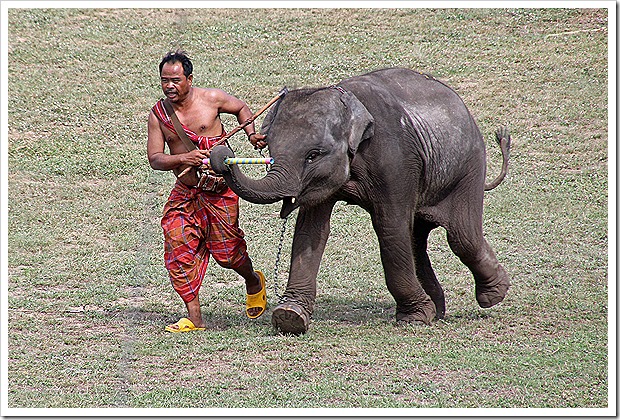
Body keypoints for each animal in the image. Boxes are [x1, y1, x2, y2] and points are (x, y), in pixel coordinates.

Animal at [211, 67, 512, 334]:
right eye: (270, 149)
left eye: (313, 155)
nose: (221, 152)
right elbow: (311, 230)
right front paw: (290, 317)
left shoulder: (396, 159)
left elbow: (390, 228)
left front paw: (413, 319)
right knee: (417, 241)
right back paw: (438, 311)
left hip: (468, 166)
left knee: (461, 236)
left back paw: (493, 294)